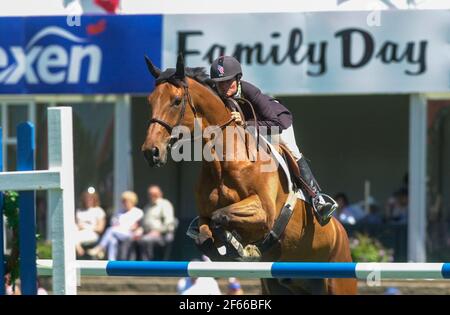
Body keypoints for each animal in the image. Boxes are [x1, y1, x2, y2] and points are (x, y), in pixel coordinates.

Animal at [141, 55, 356, 296]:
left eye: (176, 101)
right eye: (150, 101)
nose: (151, 151)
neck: (224, 160)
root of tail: (341, 232)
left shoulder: (265, 213)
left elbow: (222, 216)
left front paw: (241, 247)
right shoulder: (204, 217)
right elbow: (206, 233)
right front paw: (230, 247)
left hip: (339, 279)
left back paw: (322, 206)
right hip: (278, 286)